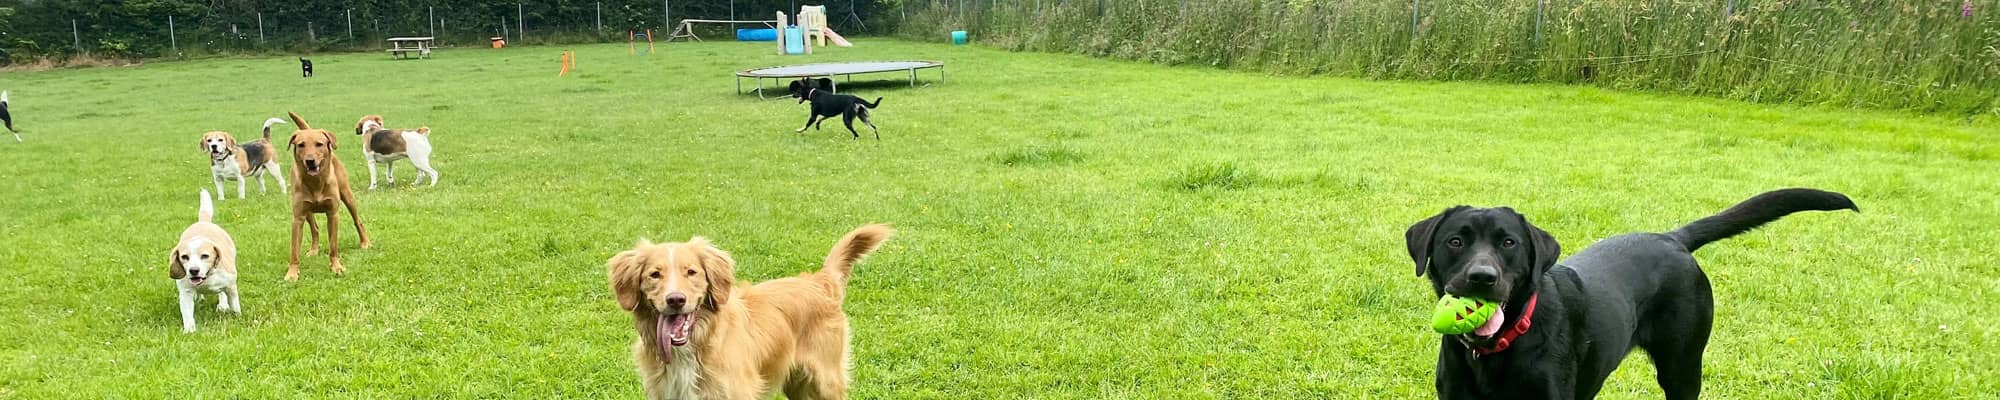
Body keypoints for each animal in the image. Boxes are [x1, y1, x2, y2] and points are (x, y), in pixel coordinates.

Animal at [171, 189, 243, 332]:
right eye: (184, 257)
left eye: (205, 256)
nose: (193, 270)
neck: (208, 277)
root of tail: (203, 222)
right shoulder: (186, 292)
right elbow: (187, 313)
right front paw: (189, 330)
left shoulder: (231, 286)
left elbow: (234, 304)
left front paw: (237, 316)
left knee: (222, 294)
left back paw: (222, 305)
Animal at [286, 111, 372, 280]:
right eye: (301, 145)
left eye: (319, 144)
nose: (310, 161)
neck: (316, 183)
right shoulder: (298, 217)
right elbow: (294, 250)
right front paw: (292, 273)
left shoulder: (332, 213)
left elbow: (333, 246)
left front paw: (336, 267)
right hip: (307, 211)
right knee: (315, 229)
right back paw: (314, 250)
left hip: (347, 194)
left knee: (357, 220)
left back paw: (365, 242)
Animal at [604, 225, 896, 400]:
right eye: (655, 274)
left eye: (691, 272)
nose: (675, 299)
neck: (695, 346)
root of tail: (818, 281)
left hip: (827, 380)